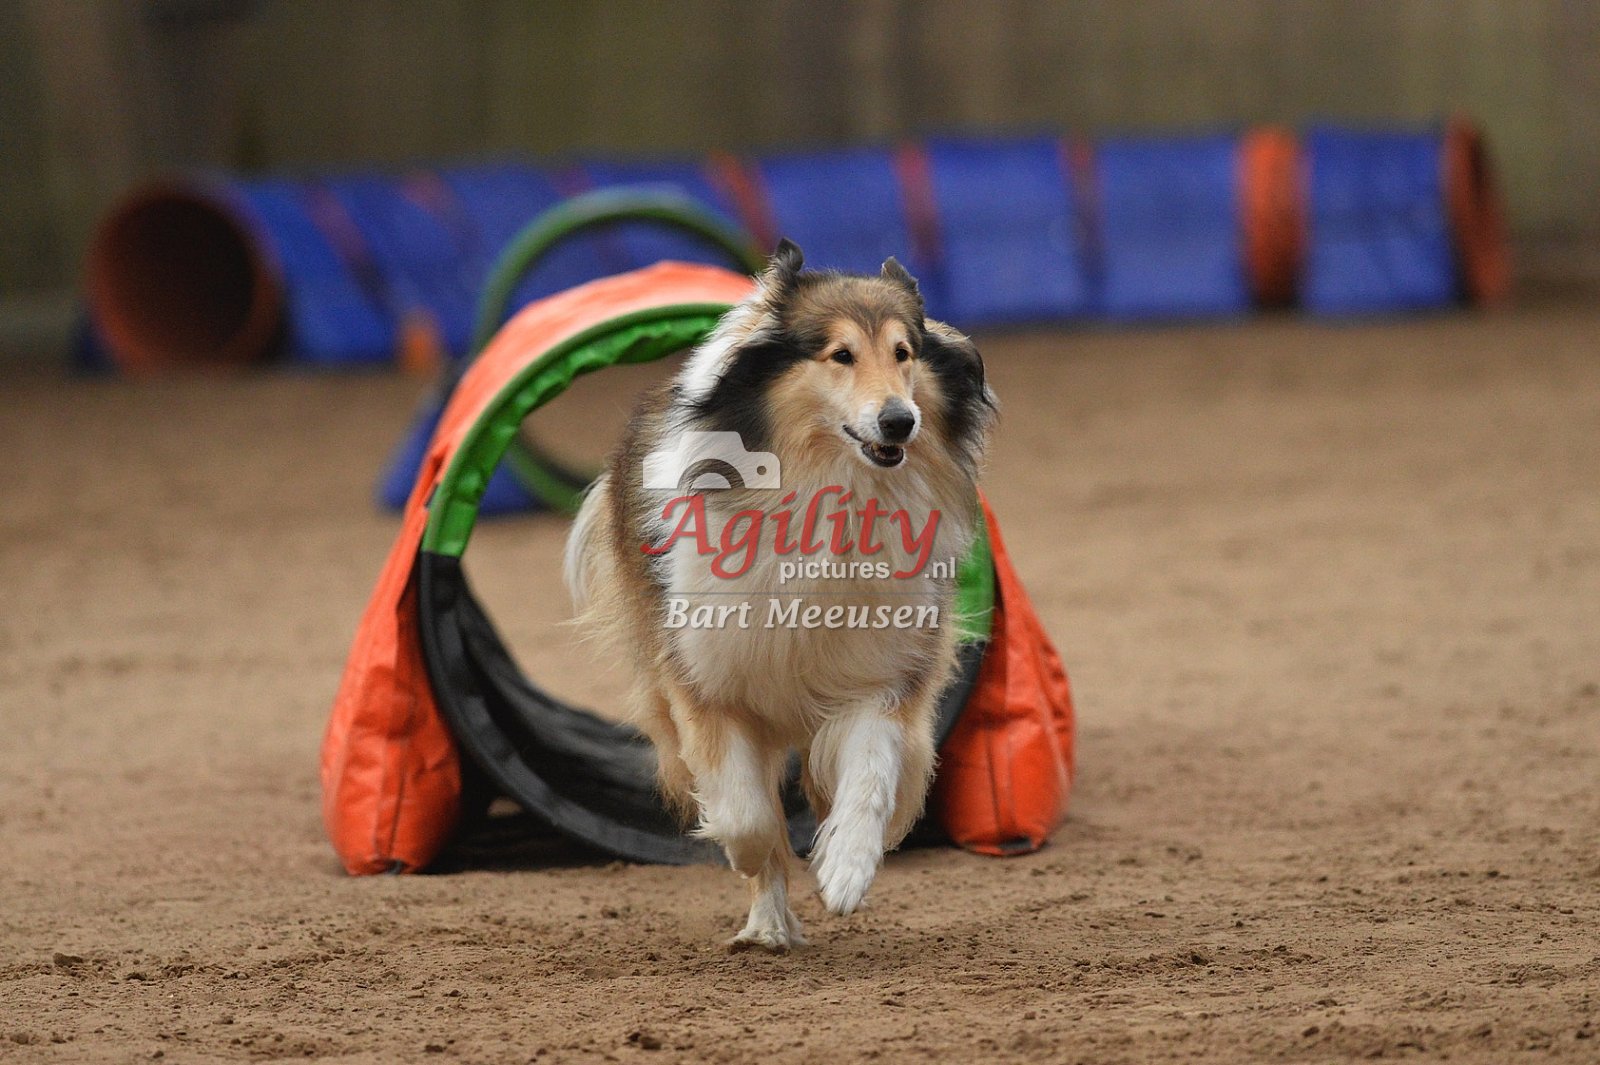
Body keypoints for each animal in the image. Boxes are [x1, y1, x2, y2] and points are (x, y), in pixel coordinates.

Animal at [564, 240, 995, 950]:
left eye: (904, 352)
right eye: (840, 354)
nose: (900, 422)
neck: (826, 487)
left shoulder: (882, 676)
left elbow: (871, 780)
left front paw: (846, 871)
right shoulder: (707, 682)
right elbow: (747, 817)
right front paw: (755, 862)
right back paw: (768, 923)